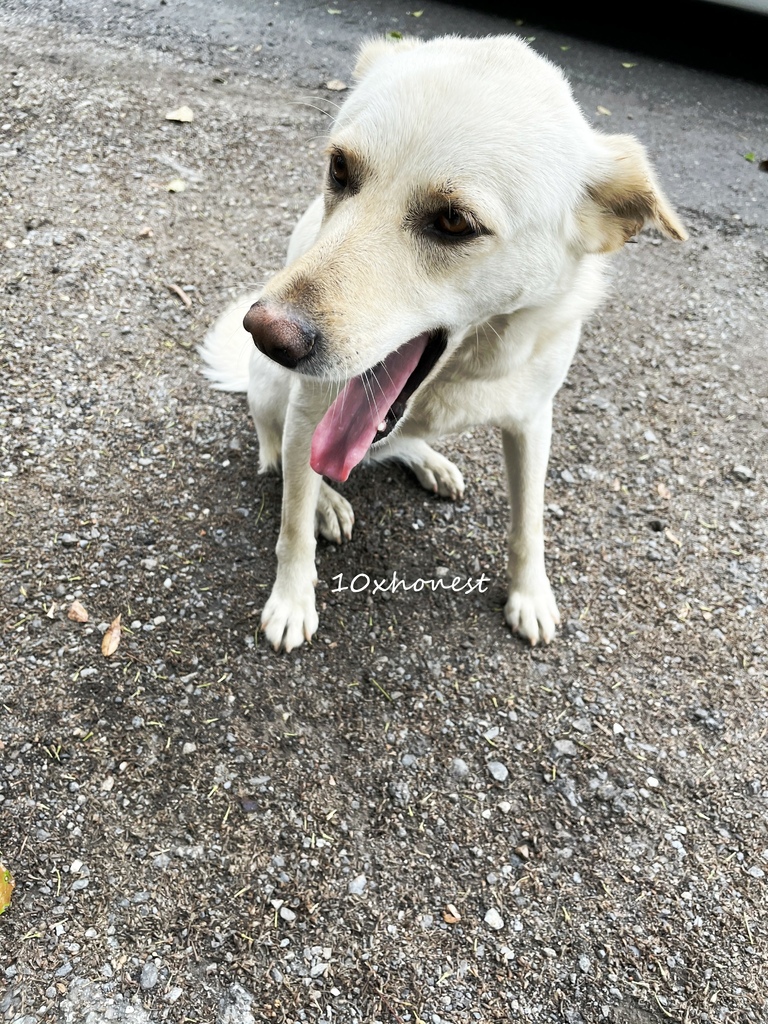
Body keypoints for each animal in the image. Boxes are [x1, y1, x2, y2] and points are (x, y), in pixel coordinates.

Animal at [199, 39, 684, 651]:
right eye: (340, 168)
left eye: (454, 221)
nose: (265, 333)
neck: (462, 372)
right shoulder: (310, 406)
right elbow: (292, 523)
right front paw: (291, 599)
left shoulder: (533, 421)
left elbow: (529, 523)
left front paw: (530, 596)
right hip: (271, 394)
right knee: (277, 452)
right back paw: (328, 500)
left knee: (385, 446)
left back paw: (427, 462)